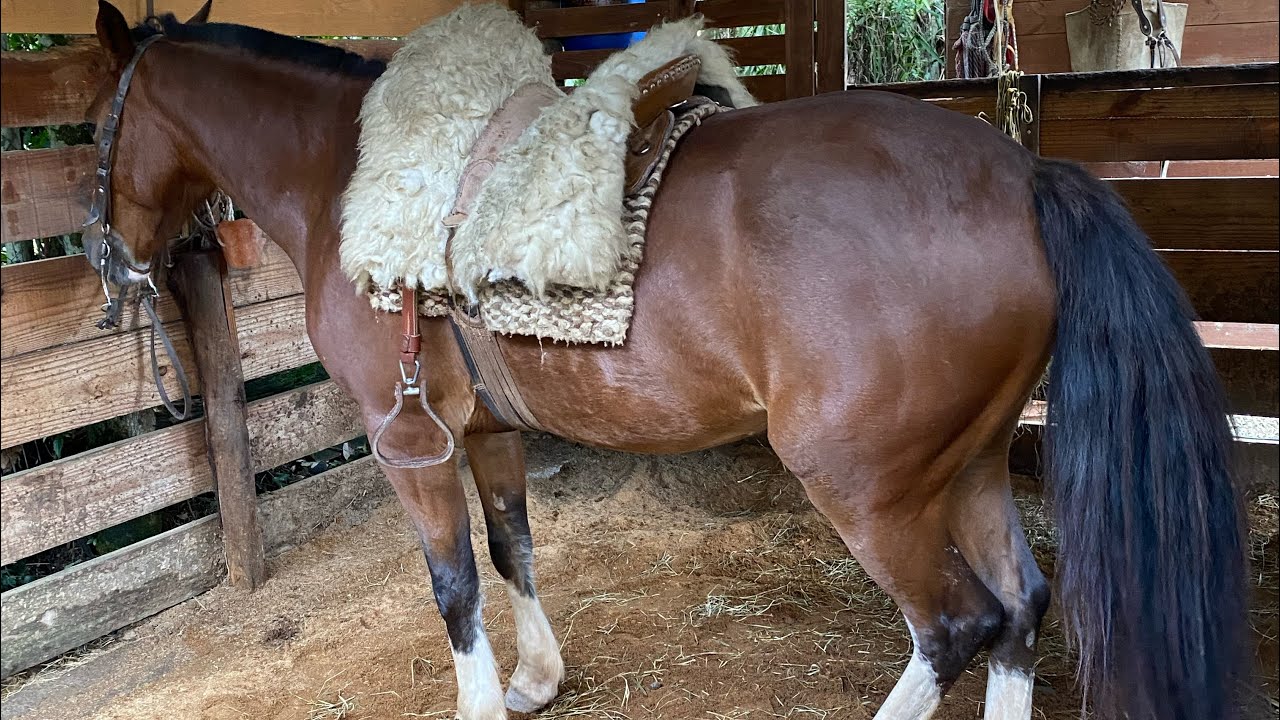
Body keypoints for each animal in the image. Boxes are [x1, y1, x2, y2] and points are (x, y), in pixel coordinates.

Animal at [82, 3, 1248, 719]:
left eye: (94, 125)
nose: (109, 260)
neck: (348, 173)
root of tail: (1021, 177)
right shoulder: (488, 432)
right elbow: (512, 550)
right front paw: (535, 680)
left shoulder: (406, 440)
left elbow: (453, 586)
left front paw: (479, 697)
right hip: (965, 467)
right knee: (1020, 611)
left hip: (869, 491)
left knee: (957, 626)